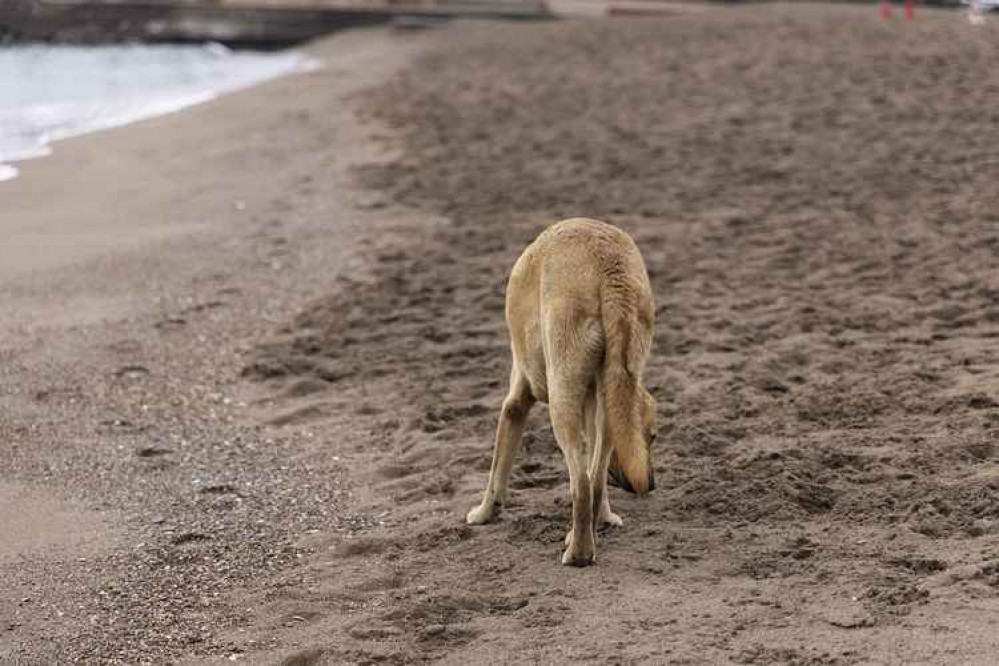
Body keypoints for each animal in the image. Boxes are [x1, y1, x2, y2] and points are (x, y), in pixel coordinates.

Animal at [468, 219, 656, 564]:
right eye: (651, 437)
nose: (651, 485)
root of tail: (611, 270)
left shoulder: (515, 403)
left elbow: (497, 470)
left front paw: (483, 513)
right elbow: (598, 475)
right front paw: (605, 519)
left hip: (560, 395)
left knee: (580, 482)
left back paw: (578, 552)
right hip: (611, 390)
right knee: (594, 478)